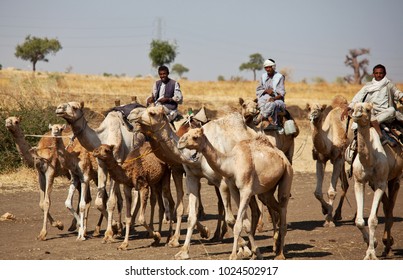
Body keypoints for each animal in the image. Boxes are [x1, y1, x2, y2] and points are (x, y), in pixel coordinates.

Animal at [55, 101, 145, 243]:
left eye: (74, 107)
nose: (58, 108)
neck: (103, 138)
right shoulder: (101, 165)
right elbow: (99, 202)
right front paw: (114, 227)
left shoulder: (117, 162)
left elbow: (110, 202)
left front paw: (109, 233)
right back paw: (127, 227)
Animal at [129, 105, 262, 260]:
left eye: (152, 113)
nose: (131, 115)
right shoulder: (191, 177)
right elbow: (191, 216)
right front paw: (183, 251)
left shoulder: (222, 182)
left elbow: (230, 218)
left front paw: (244, 248)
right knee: (252, 209)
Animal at [178, 128, 292, 260]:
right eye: (186, 133)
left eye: (195, 137)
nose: (180, 142)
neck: (232, 163)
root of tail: (282, 155)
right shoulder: (233, 188)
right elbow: (245, 224)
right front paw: (255, 253)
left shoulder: (246, 190)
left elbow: (238, 225)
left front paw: (233, 255)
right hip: (267, 191)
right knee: (275, 206)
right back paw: (276, 246)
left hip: (287, 173)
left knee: (283, 205)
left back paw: (280, 254)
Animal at [308, 95, 352, 226]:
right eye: (309, 108)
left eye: (320, 109)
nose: (313, 115)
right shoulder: (320, 159)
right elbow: (317, 192)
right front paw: (326, 209)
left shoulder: (337, 159)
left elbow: (332, 192)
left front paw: (329, 220)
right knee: (345, 184)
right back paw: (338, 214)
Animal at [350, 103, 403, 260]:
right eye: (353, 108)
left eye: (367, 109)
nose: (356, 114)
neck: (369, 159)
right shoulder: (359, 182)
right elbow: (359, 221)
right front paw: (372, 243)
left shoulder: (381, 183)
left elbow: (373, 220)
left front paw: (371, 254)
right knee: (386, 206)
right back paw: (386, 245)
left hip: (394, 179)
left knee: (390, 208)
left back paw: (387, 245)